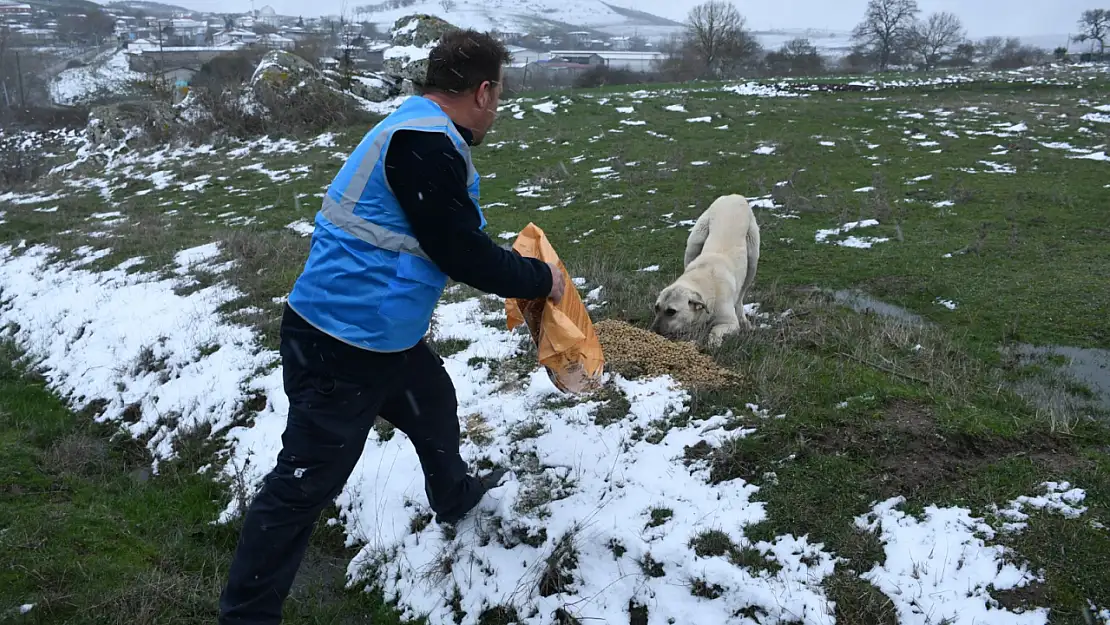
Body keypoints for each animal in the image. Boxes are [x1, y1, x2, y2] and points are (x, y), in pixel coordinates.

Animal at [648, 193, 763, 350]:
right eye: (656, 308)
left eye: (671, 312)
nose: (652, 331)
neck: (706, 277)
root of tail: (734, 196)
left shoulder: (730, 323)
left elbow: (715, 330)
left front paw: (713, 343)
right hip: (694, 242)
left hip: (752, 259)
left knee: (740, 296)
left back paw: (745, 321)